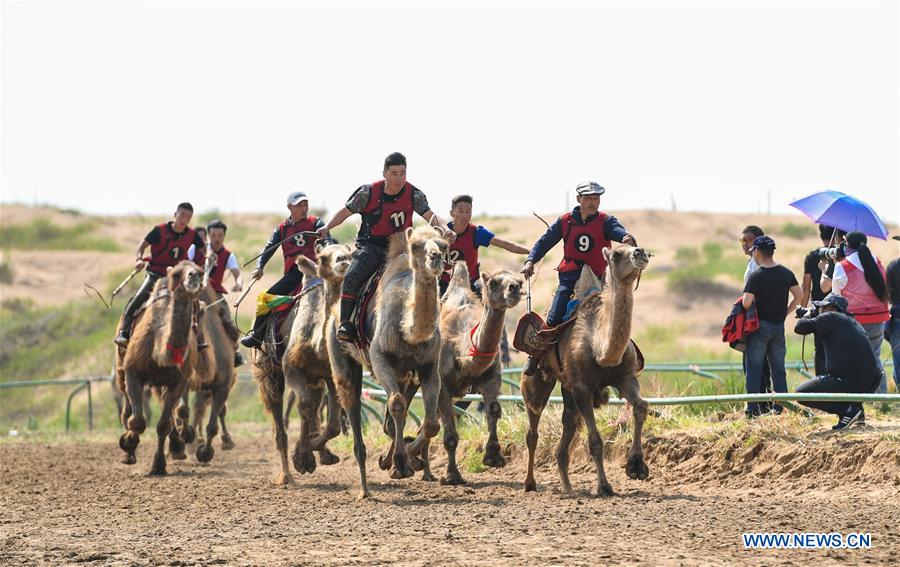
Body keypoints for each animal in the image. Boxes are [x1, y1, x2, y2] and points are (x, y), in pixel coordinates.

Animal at [114, 262, 214, 474]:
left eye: (200, 271)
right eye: (176, 274)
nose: (193, 277)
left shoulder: (179, 380)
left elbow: (162, 424)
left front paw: (159, 465)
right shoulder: (133, 371)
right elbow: (137, 421)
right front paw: (128, 445)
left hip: (161, 382)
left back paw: (177, 446)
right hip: (121, 366)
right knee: (126, 409)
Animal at [255, 242, 354, 486]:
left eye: (350, 252)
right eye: (324, 257)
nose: (344, 261)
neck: (316, 344)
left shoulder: (329, 375)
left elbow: (332, 423)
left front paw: (312, 452)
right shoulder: (292, 370)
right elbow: (306, 406)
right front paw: (301, 458)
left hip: (313, 380)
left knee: (313, 407)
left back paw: (320, 453)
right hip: (270, 373)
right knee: (282, 423)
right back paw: (286, 476)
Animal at [326, 224, 448, 500]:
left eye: (444, 244)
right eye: (415, 245)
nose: (435, 257)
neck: (408, 330)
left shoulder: (428, 366)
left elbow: (431, 422)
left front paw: (408, 459)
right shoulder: (380, 359)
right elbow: (396, 404)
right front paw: (401, 464)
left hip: (406, 376)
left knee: (394, 418)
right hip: (342, 358)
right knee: (355, 406)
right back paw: (365, 489)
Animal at [418, 264, 524, 486]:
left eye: (519, 281)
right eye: (493, 282)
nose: (514, 289)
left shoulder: (491, 377)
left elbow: (493, 409)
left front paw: (493, 457)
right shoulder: (444, 386)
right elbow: (450, 435)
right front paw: (452, 476)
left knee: (426, 423)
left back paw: (426, 472)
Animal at [516, 244, 652, 496]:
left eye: (632, 245)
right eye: (616, 254)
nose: (640, 252)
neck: (599, 348)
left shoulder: (625, 377)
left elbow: (640, 406)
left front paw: (637, 467)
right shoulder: (582, 388)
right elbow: (595, 441)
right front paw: (604, 486)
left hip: (567, 389)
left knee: (567, 425)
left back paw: (568, 488)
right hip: (538, 380)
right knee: (533, 427)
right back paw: (529, 483)